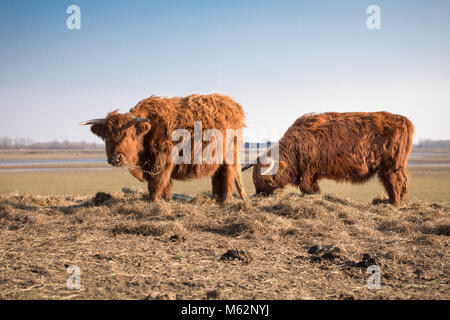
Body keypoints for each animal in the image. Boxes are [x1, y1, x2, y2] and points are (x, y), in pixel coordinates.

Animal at [82, 93, 248, 202]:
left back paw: (225, 200)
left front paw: (154, 201)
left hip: (229, 155)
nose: (115, 157)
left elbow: (157, 183)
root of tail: (233, 106)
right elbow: (163, 185)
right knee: (217, 176)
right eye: (107, 136)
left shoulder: (163, 161)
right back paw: (216, 198)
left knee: (228, 175)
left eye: (128, 135)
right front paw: (166, 200)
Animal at [244, 111, 414, 205]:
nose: (260, 193)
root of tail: (403, 120)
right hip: (386, 169)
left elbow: (307, 187)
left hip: (392, 166)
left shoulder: (308, 170)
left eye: (264, 178)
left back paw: (392, 203)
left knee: (397, 184)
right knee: (393, 184)